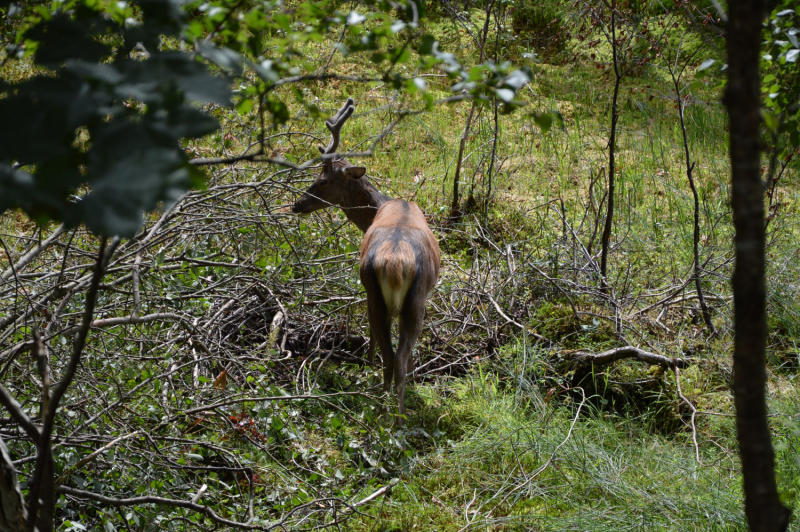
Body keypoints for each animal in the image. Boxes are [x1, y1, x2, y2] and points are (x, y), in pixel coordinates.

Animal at [294, 98, 440, 424]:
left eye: (322, 180)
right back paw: (394, 416)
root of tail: (396, 263)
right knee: (394, 357)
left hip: (382, 293)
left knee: (391, 354)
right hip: (410, 298)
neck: (383, 206)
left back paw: (385, 408)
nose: (297, 204)